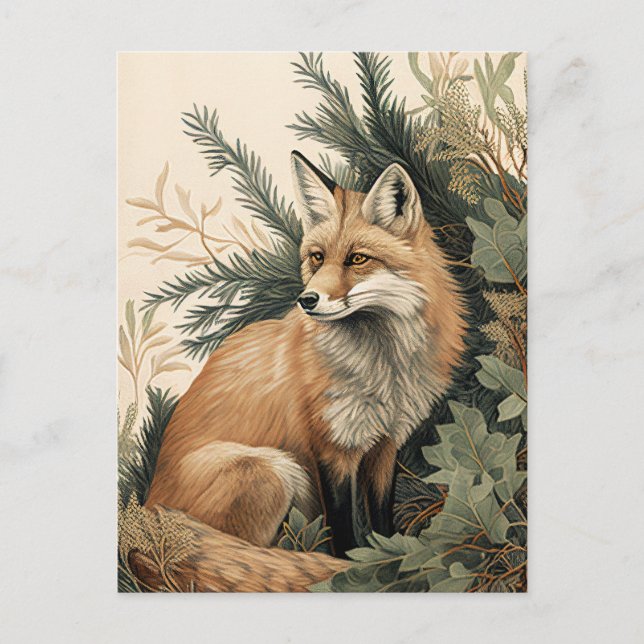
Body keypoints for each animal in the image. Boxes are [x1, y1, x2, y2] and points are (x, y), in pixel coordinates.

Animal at [139, 151, 467, 590]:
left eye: (357, 259)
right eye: (317, 257)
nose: (306, 301)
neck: (383, 367)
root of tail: (145, 513)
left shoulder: (385, 444)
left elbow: (381, 519)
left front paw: (387, 554)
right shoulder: (330, 449)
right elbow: (345, 532)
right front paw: (354, 572)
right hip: (273, 471)